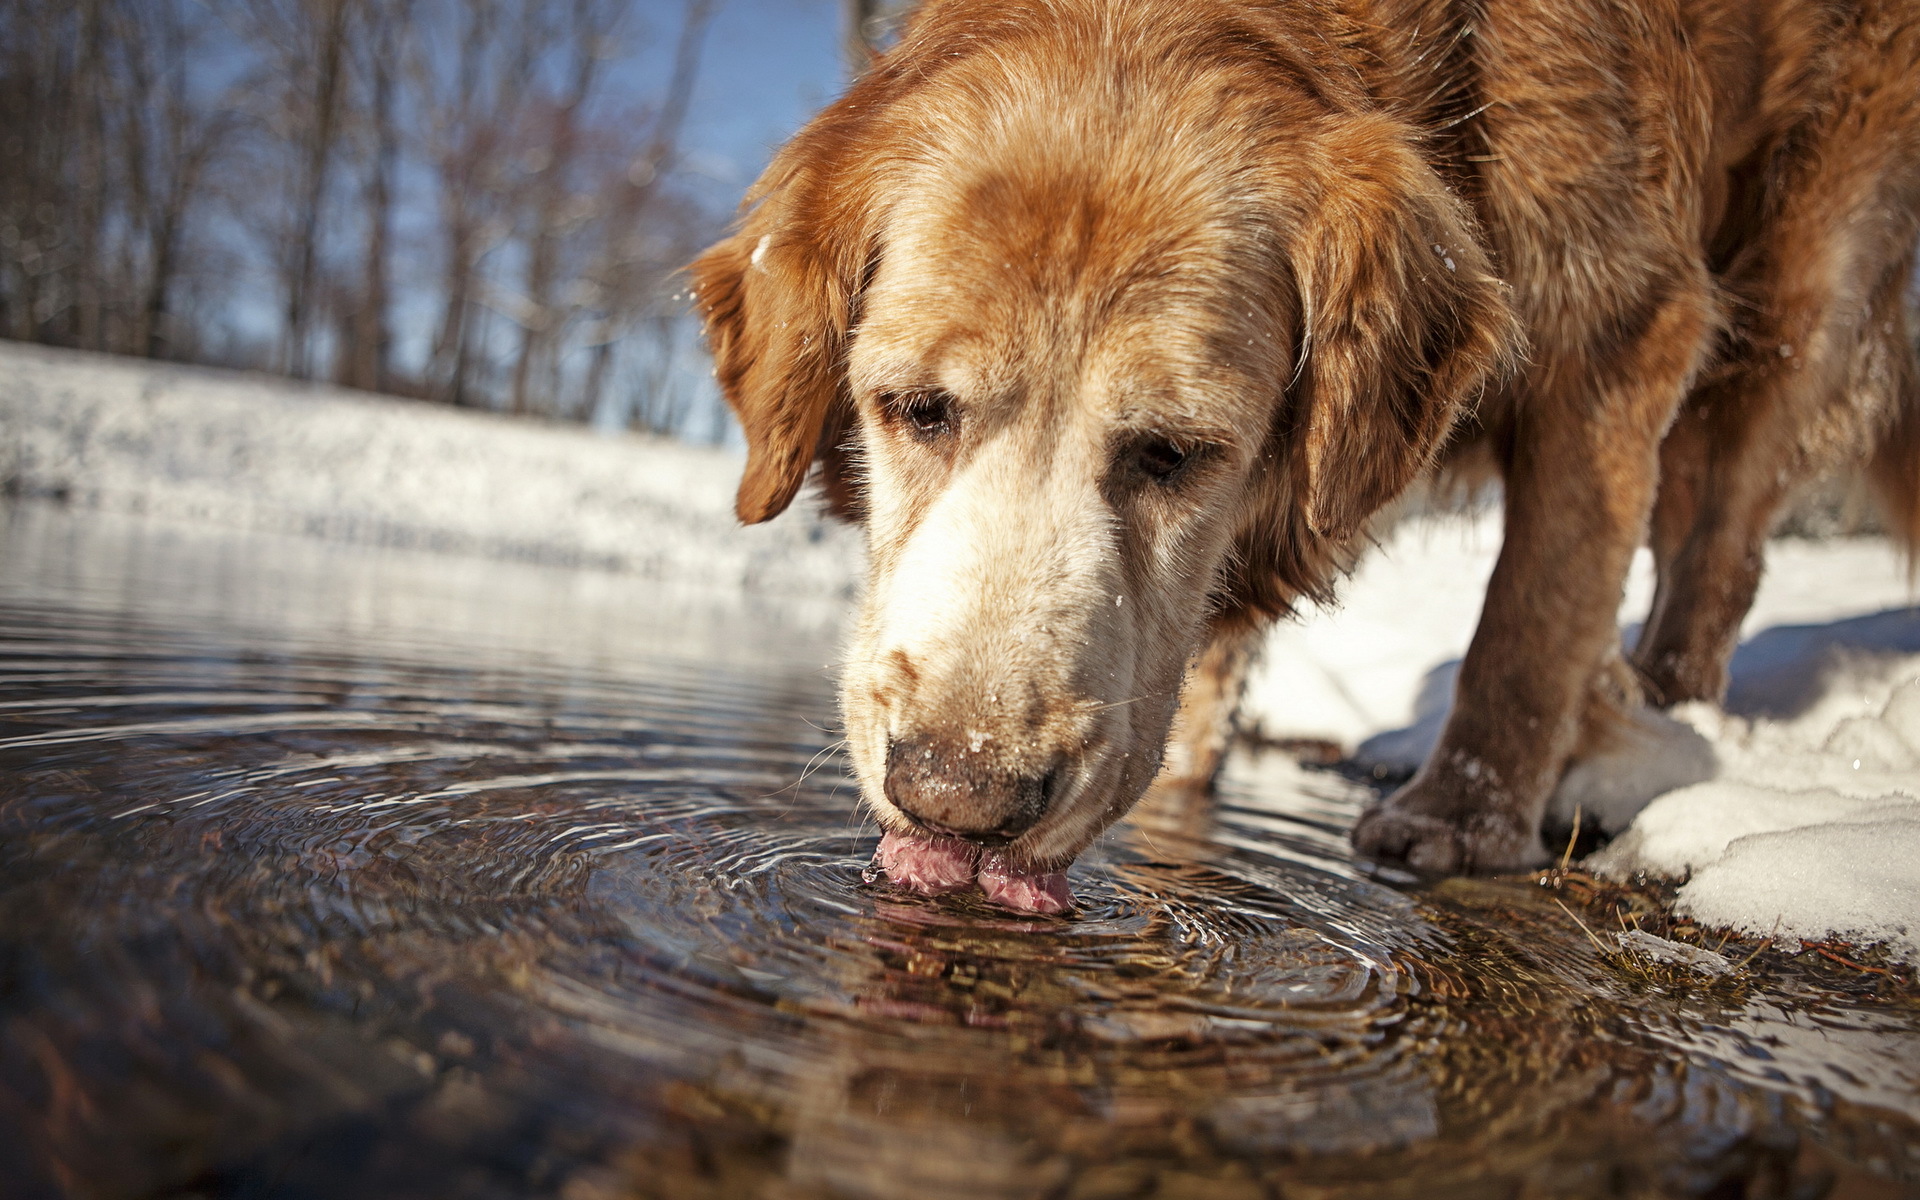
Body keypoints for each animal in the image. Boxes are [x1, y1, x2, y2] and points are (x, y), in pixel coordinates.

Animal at [695, 0, 1920, 906]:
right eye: (917, 409)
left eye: (1173, 452)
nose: (960, 798)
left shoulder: (1625, 319)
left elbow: (1533, 613)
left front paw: (1460, 820)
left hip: (1798, 277)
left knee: (1720, 547)